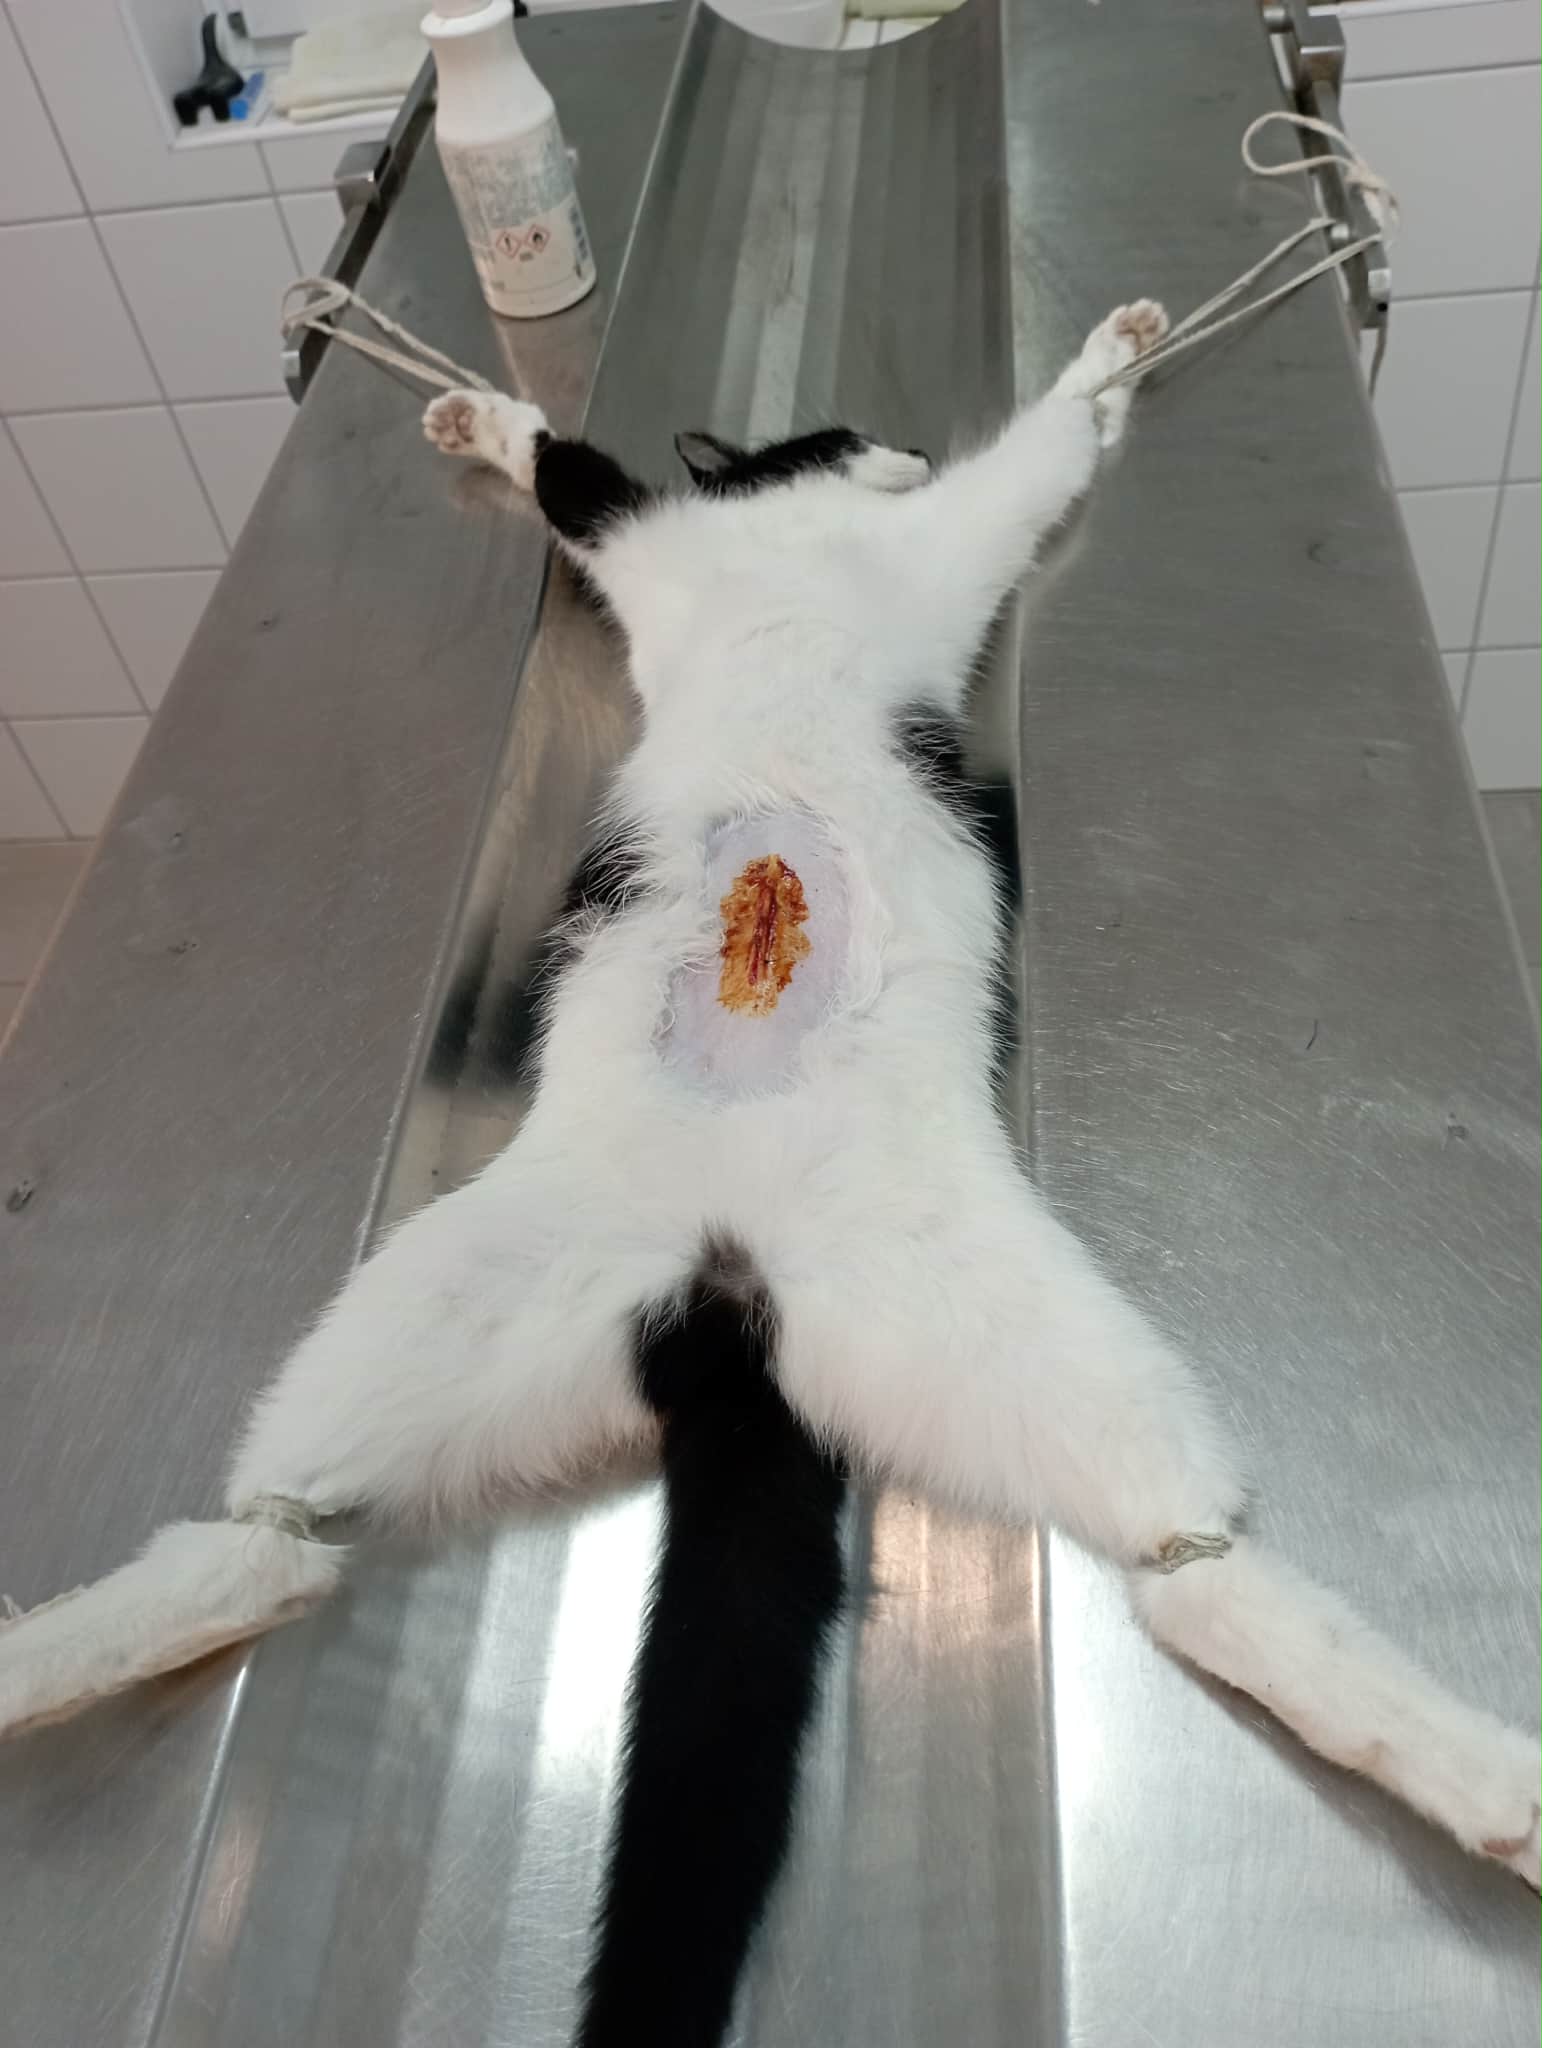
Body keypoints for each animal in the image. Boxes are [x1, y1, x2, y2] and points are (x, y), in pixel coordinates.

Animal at [1, 301, 1536, 2048]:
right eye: (853, 423)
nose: (901, 444)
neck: (793, 542)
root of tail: (726, 1296)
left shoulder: (771, 556)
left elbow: (635, 479)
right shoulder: (728, 542)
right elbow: (643, 466)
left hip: (935, 1315)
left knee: (1188, 1567)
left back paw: (1484, 1779)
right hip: (472, 1298)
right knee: (265, 1540)